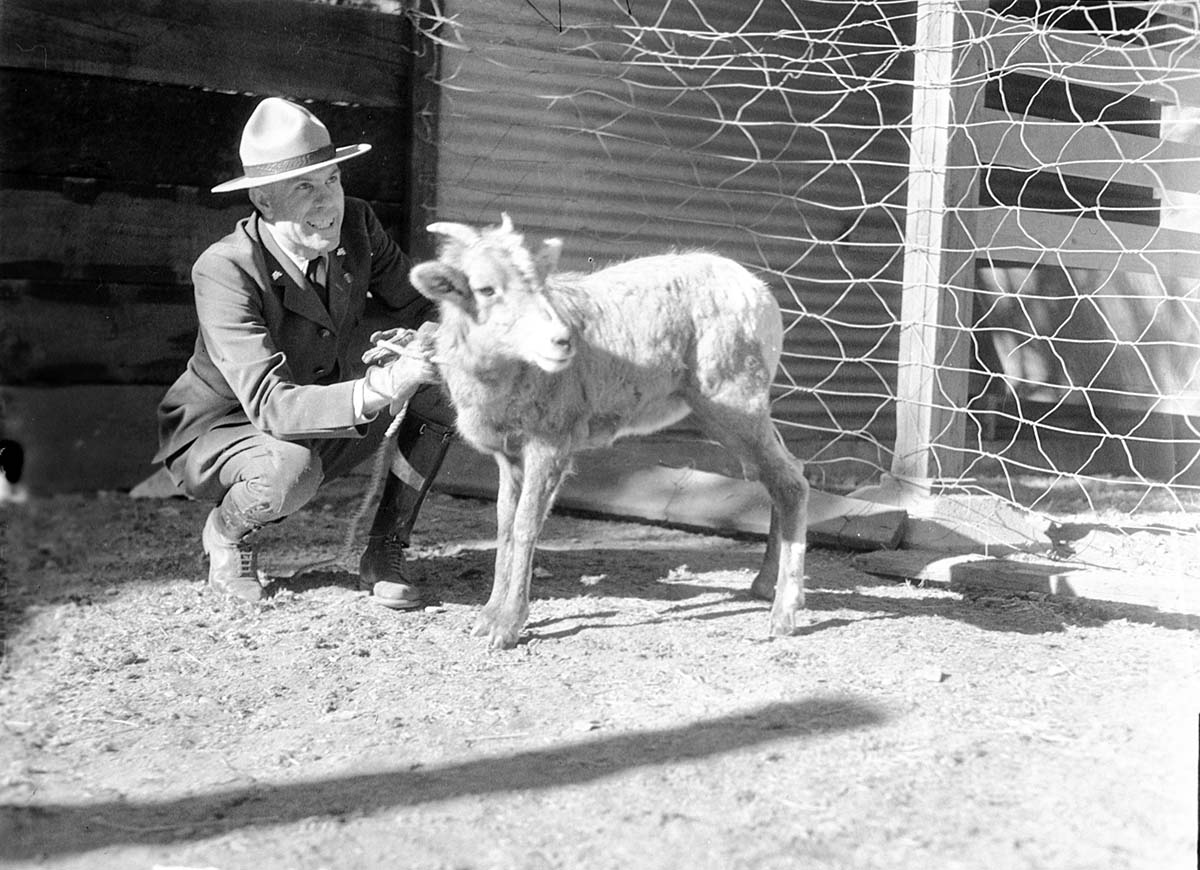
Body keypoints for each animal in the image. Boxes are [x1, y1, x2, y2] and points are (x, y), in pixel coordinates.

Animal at [409, 215, 809, 649]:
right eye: (486, 289)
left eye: (541, 284)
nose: (561, 341)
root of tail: (760, 293)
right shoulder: (509, 454)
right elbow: (505, 525)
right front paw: (489, 616)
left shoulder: (551, 441)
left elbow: (526, 524)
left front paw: (508, 625)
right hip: (739, 405)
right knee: (785, 472)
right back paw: (769, 585)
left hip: (735, 395)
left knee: (790, 482)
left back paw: (783, 613)